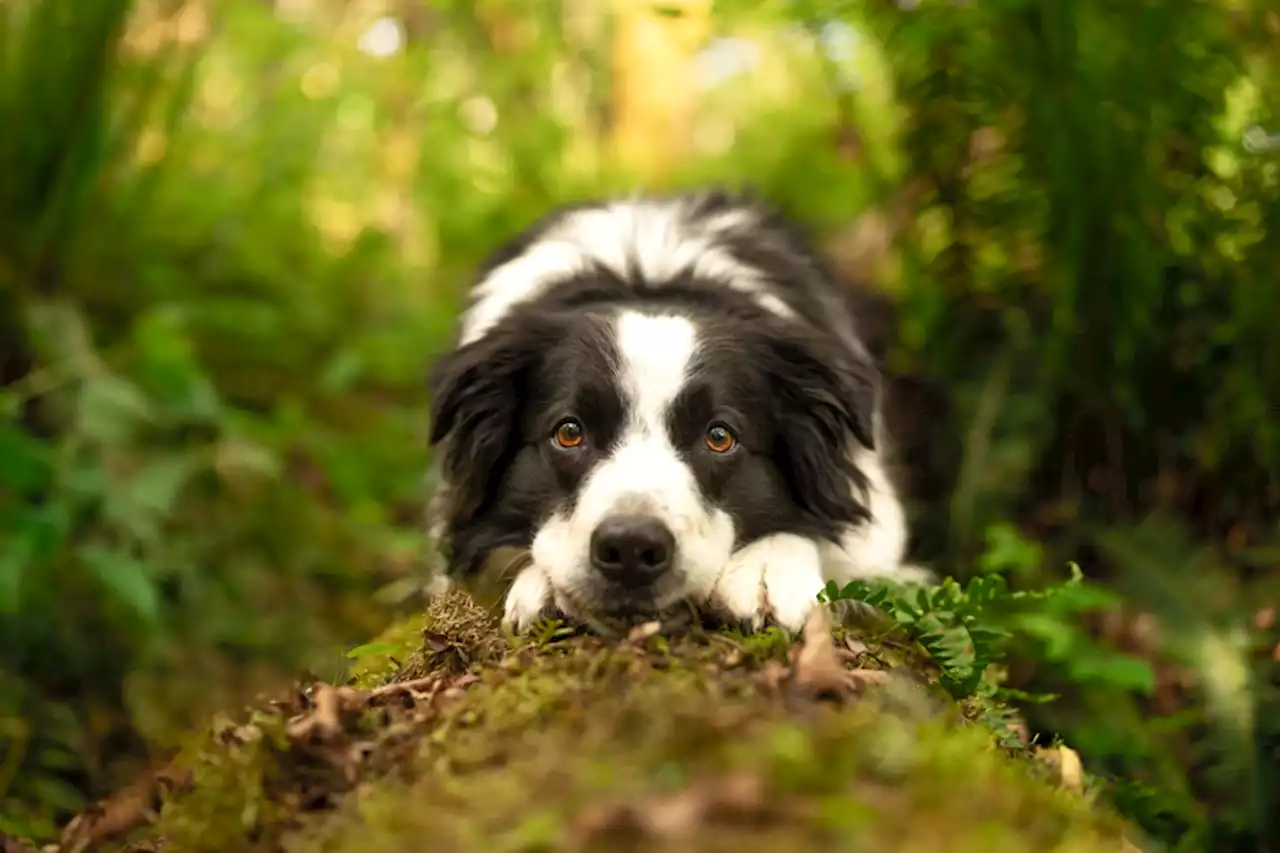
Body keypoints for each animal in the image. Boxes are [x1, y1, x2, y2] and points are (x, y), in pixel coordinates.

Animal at [424, 190, 936, 630]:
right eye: (568, 432)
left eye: (719, 436)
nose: (631, 548)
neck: (647, 283)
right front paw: (540, 585)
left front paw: (768, 570)